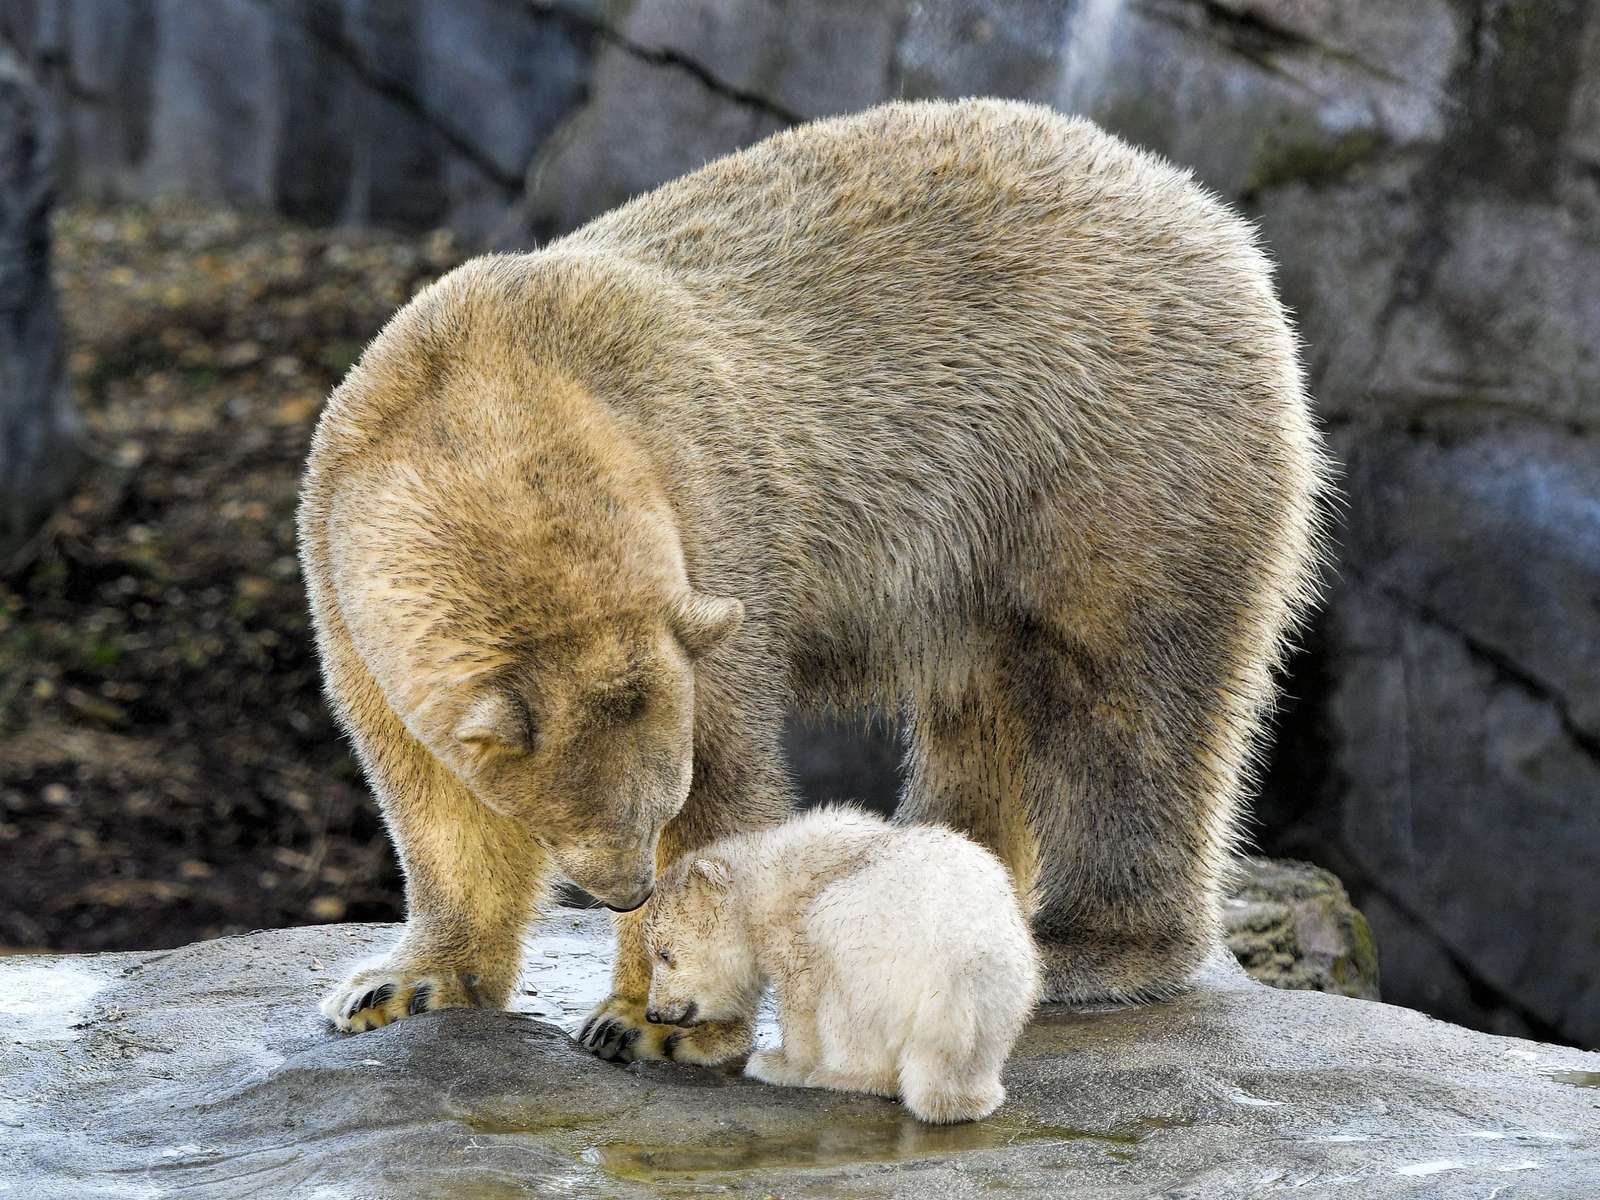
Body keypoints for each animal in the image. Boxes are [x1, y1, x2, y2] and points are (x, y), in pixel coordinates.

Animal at [297, 101, 1324, 1062]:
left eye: (657, 805)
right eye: (571, 818)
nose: (627, 890)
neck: (487, 397)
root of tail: (1204, 211)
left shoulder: (710, 520)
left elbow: (725, 782)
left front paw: (647, 1020)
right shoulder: (342, 564)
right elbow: (429, 793)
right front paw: (397, 984)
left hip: (1118, 447)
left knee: (1124, 692)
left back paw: (1094, 947)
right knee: (986, 706)